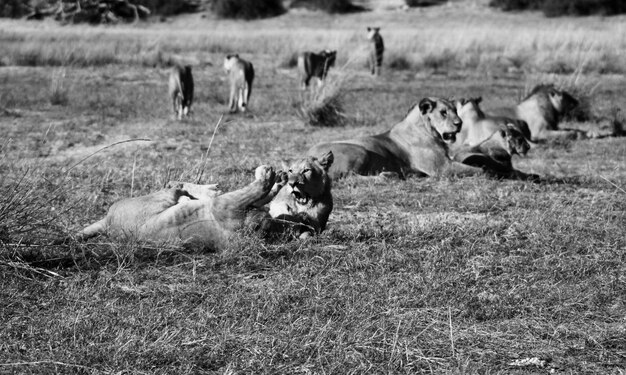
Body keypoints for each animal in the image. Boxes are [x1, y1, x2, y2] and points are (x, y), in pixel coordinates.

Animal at [74, 153, 332, 253]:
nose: (291, 179)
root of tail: (107, 221)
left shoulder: (224, 206)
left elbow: (254, 190)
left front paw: (269, 175)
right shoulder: (232, 206)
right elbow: (259, 193)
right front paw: (277, 179)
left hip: (162, 197)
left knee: (174, 187)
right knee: (180, 187)